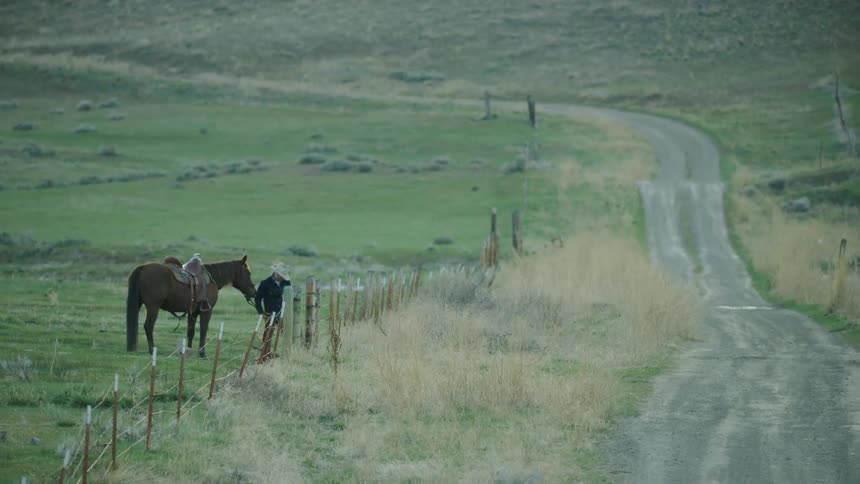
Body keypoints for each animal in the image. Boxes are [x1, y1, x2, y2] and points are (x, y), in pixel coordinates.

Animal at [126, 256, 257, 357]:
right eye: (248, 273)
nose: (254, 292)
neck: (212, 277)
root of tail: (143, 267)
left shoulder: (192, 312)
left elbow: (191, 331)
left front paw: (188, 350)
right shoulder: (207, 311)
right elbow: (203, 330)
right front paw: (202, 353)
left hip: (139, 304)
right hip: (153, 307)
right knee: (148, 326)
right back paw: (151, 349)